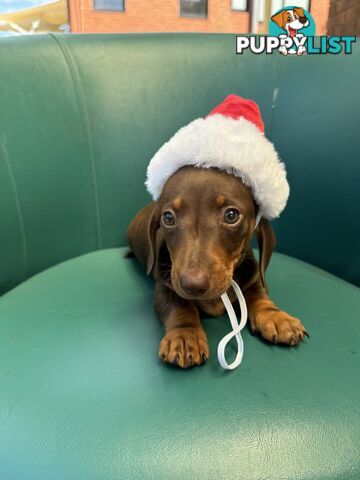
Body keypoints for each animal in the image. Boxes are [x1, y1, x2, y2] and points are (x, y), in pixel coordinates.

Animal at [128, 165, 308, 368]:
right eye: (168, 217)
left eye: (231, 215)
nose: (192, 285)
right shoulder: (165, 287)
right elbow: (180, 307)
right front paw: (185, 336)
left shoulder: (254, 277)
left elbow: (258, 295)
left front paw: (276, 317)